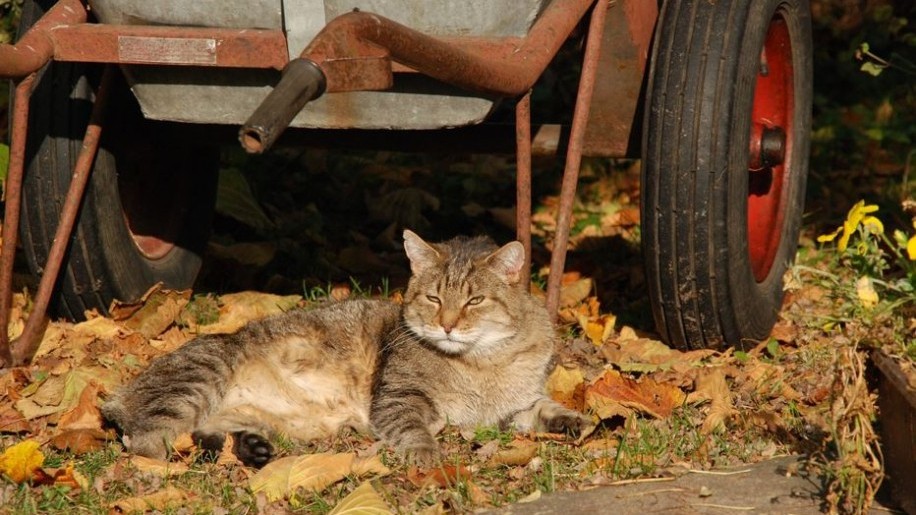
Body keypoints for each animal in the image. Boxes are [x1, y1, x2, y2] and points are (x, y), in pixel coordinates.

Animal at [100, 230, 588, 468]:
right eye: (434, 298)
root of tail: (118, 393)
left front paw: (577, 420)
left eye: (474, 300)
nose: (447, 324)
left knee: (204, 435)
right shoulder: (397, 400)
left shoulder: (514, 408)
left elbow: (546, 408)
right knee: (144, 440)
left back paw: (249, 449)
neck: (483, 363)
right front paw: (428, 455)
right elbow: (416, 429)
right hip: (199, 377)